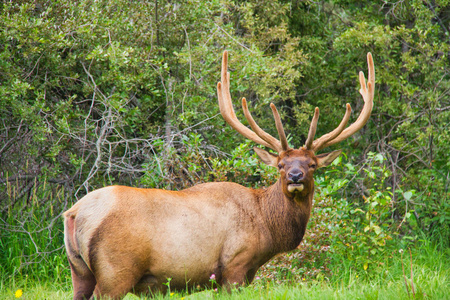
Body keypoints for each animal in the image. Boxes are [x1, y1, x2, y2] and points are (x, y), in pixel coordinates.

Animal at [62, 50, 372, 298]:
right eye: (280, 165)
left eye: (312, 164)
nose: (296, 176)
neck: (266, 224)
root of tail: (75, 213)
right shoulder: (235, 265)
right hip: (116, 269)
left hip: (79, 270)